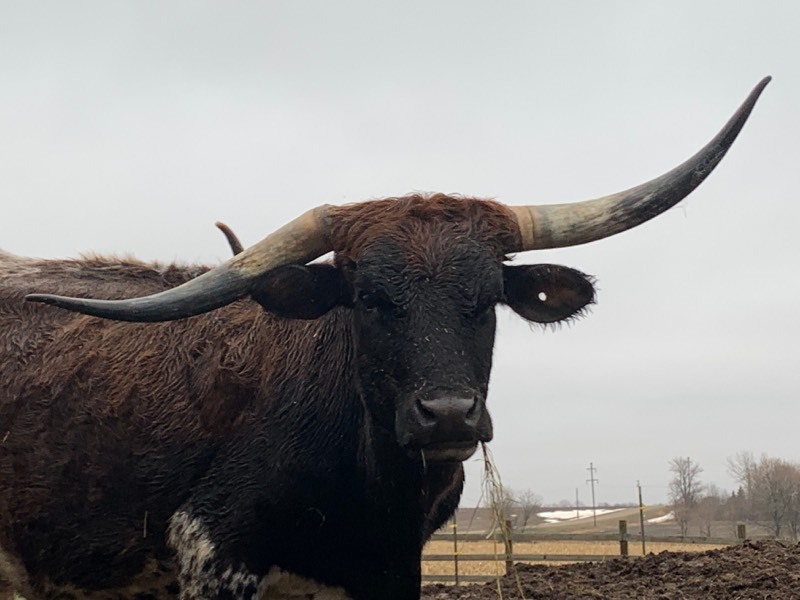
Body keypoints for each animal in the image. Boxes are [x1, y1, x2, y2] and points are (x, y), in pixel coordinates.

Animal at [0, 78, 769, 600]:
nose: (448, 416)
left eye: (487, 298)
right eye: (368, 299)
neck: (370, 487)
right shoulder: (214, 553)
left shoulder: (393, 571)